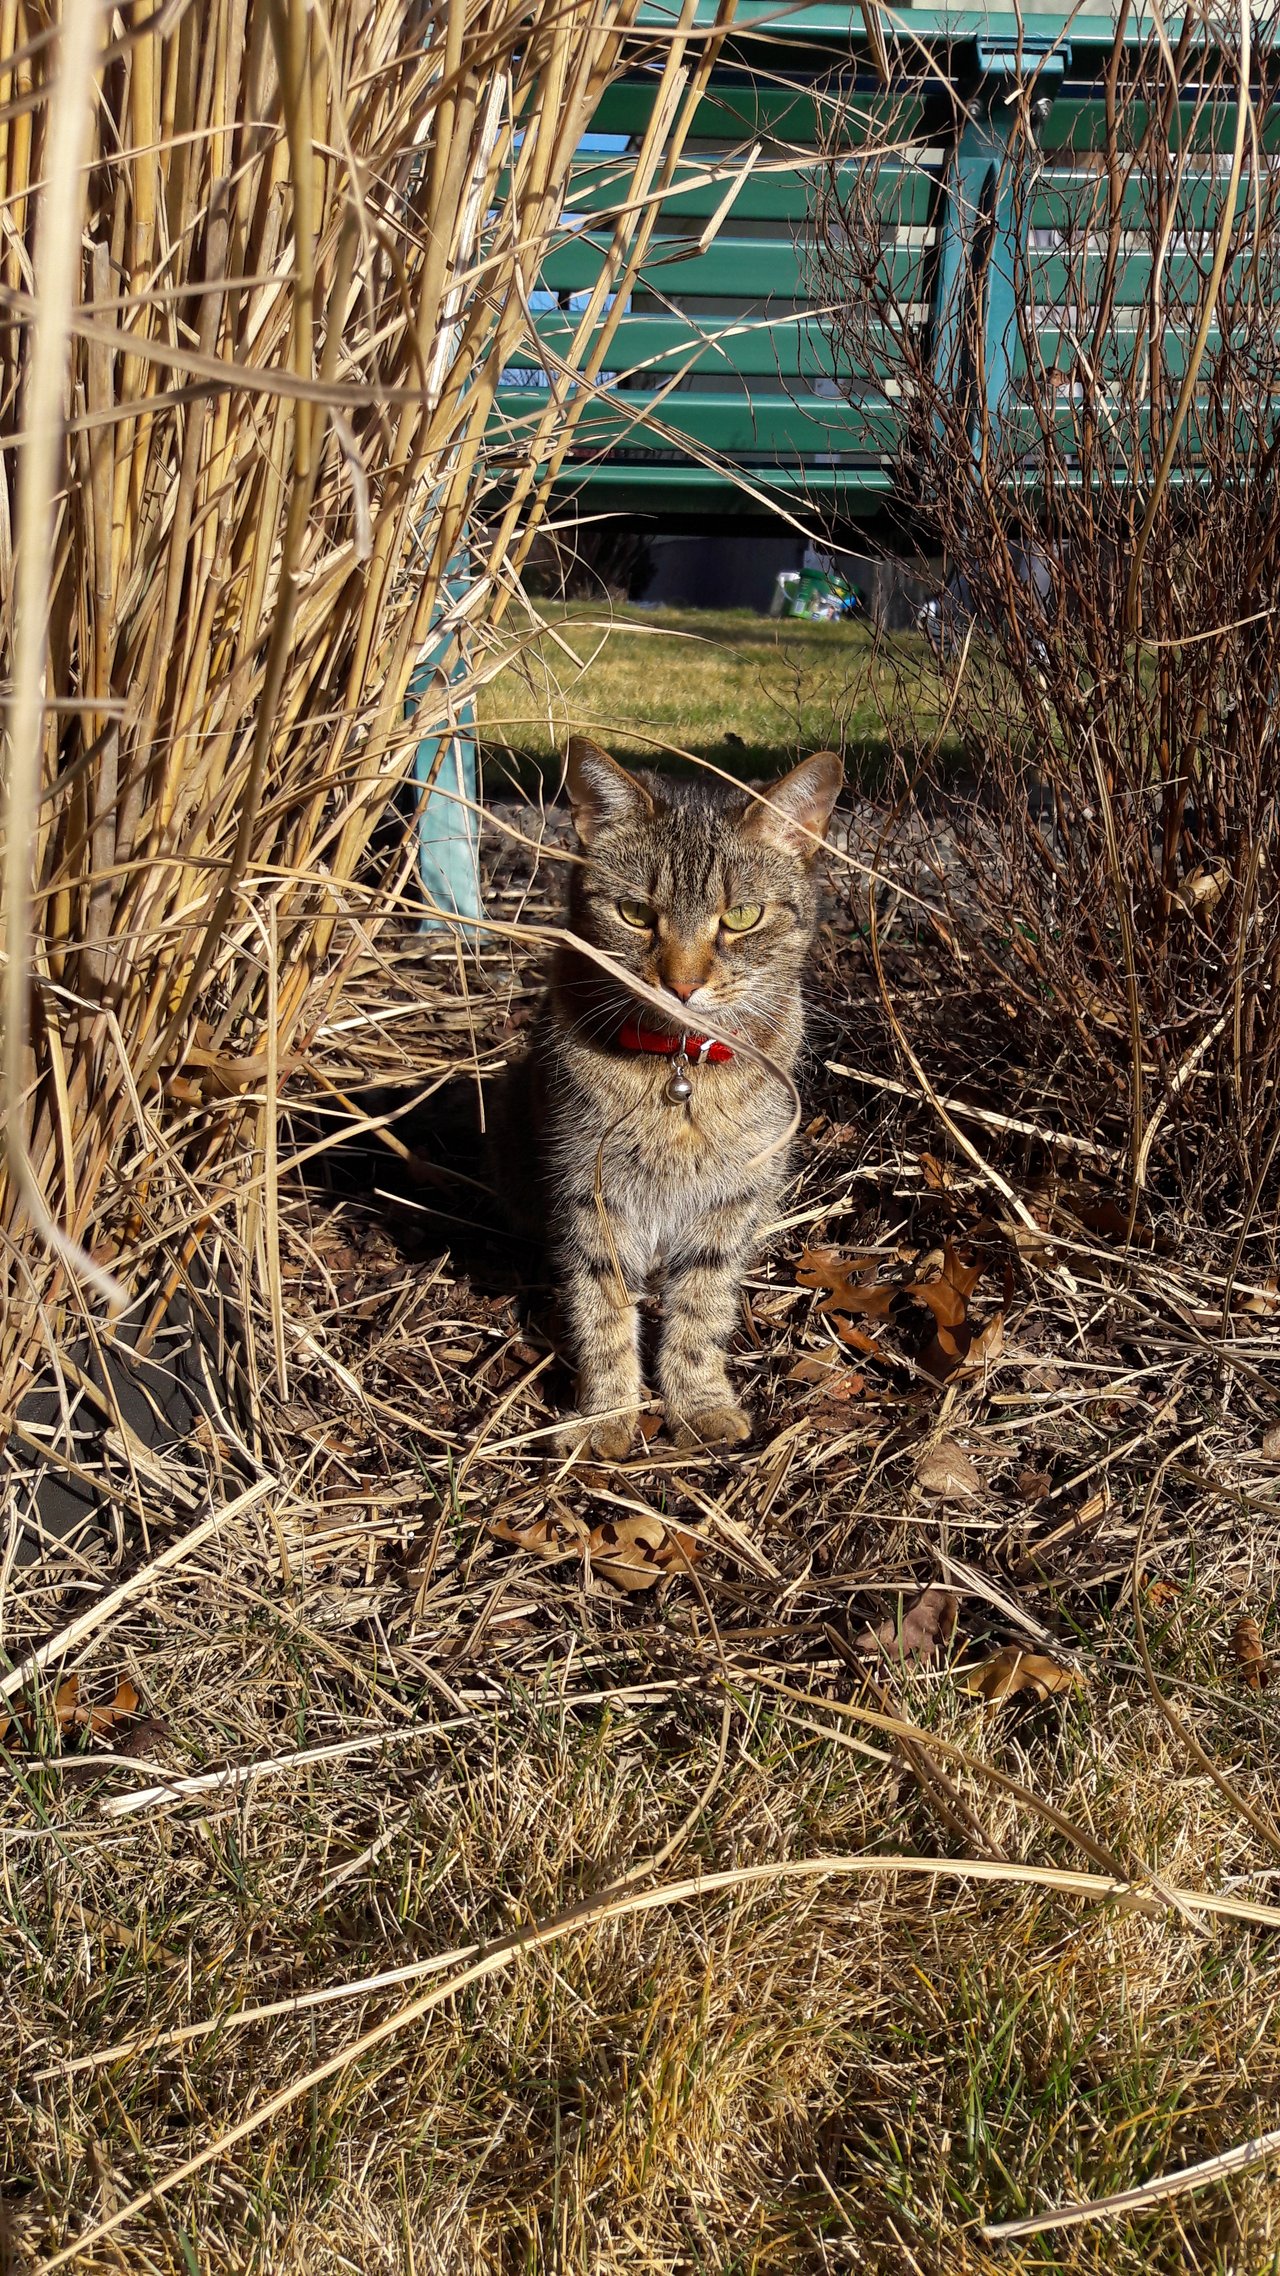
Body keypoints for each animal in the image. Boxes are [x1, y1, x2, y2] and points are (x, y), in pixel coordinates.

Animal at [528, 737, 838, 1465]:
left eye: (742, 917)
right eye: (636, 914)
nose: (682, 983)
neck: (678, 1070)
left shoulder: (731, 1201)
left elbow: (701, 1311)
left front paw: (697, 1404)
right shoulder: (591, 1193)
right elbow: (601, 1309)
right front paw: (607, 1413)